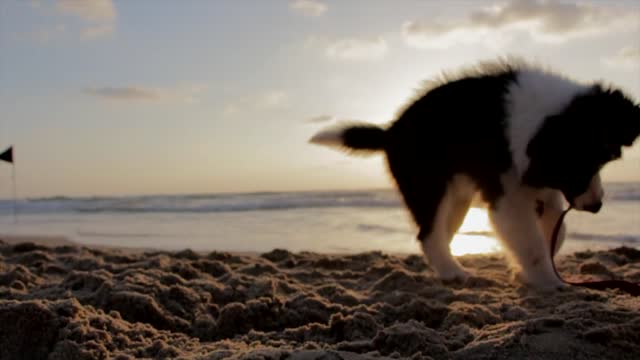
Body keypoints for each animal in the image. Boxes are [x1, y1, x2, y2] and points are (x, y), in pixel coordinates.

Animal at [312, 59, 640, 290]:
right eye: (580, 165)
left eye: (603, 163)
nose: (596, 206)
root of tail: (391, 132)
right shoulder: (509, 193)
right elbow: (531, 241)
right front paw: (549, 280)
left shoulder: (538, 184)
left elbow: (556, 230)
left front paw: (528, 269)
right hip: (430, 187)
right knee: (428, 234)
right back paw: (453, 273)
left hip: (456, 199)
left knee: (438, 234)